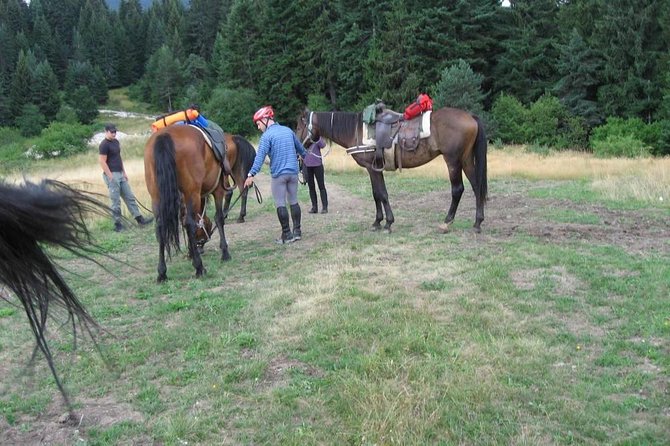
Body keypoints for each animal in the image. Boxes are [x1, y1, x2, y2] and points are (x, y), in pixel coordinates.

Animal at [144, 125, 256, 282]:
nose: (200, 246)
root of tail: (165, 136)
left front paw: (191, 253)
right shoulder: (217, 190)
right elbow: (218, 218)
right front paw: (224, 252)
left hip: (157, 196)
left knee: (160, 227)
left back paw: (162, 273)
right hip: (196, 191)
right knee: (191, 223)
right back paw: (199, 267)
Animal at [296, 107, 488, 233]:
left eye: (298, 126)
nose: (298, 149)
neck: (356, 131)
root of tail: (470, 116)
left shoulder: (372, 169)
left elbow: (381, 194)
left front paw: (387, 223)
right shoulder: (375, 169)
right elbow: (376, 194)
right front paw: (378, 222)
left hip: (453, 161)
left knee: (458, 189)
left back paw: (446, 222)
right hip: (466, 160)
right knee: (477, 187)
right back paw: (477, 223)